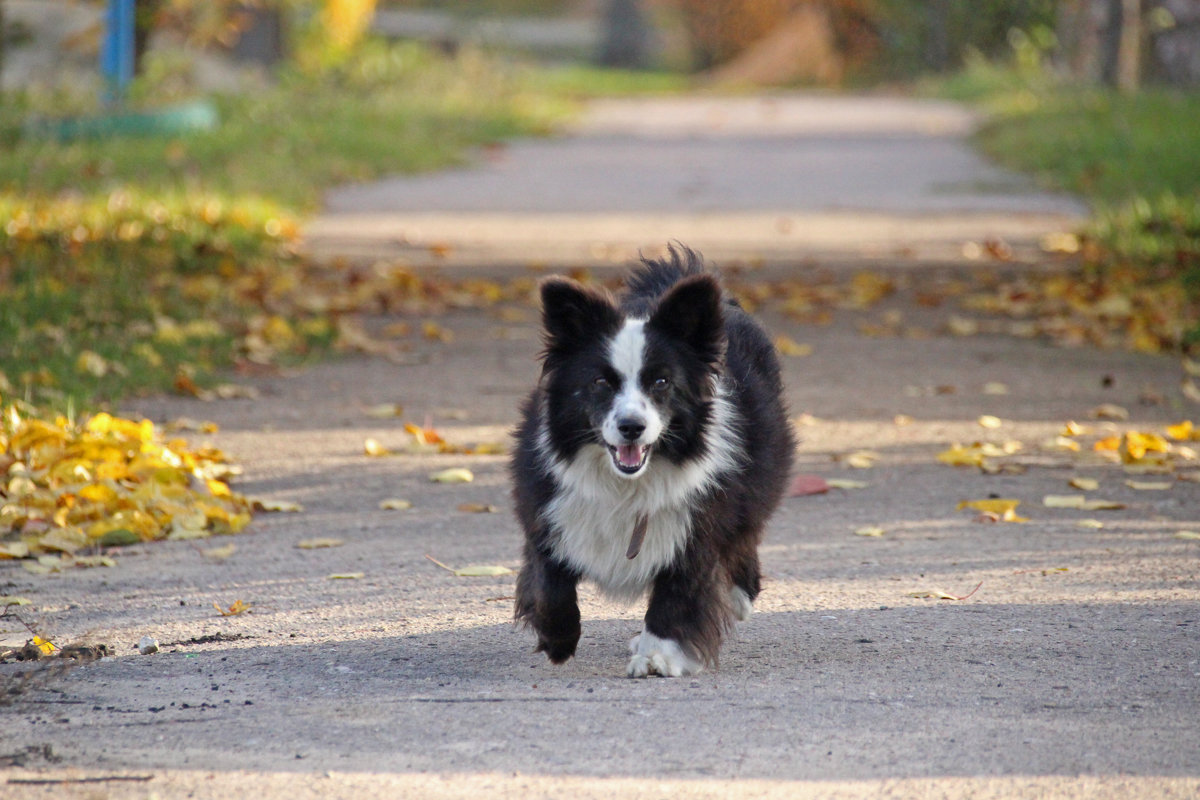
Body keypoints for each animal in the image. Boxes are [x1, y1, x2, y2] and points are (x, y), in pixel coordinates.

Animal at [511, 245, 792, 676]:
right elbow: (549, 579)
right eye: (600, 382)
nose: (631, 427)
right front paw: (557, 639)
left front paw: (658, 656)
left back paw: (738, 596)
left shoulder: (697, 527)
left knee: (746, 533)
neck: (625, 484)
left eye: (661, 382)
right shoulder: (545, 510)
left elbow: (678, 591)